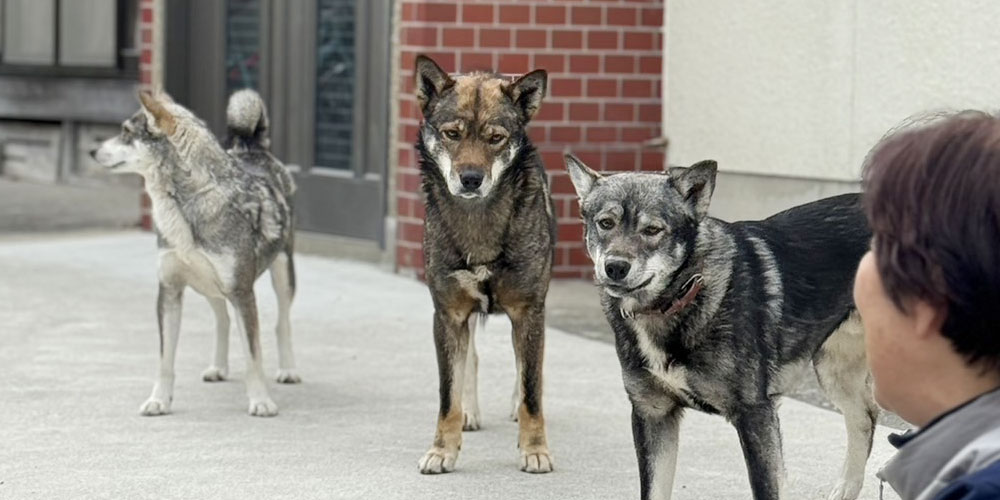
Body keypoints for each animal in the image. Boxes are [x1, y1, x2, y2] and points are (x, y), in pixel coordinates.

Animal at [92, 90, 298, 418]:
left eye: (125, 132)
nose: (92, 151)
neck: (188, 202)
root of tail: (253, 148)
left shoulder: (242, 293)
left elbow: (253, 356)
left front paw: (260, 401)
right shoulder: (169, 291)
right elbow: (164, 359)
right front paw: (159, 400)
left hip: (283, 275)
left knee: (282, 323)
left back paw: (288, 370)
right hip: (208, 287)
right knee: (222, 320)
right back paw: (218, 367)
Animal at [410, 55, 560, 476]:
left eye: (495, 138)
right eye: (452, 134)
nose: (471, 179)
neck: (478, 221)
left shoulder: (529, 311)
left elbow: (531, 389)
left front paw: (535, 449)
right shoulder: (448, 315)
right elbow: (448, 393)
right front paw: (442, 450)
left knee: (527, 367)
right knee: (470, 359)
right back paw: (469, 413)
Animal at [568, 154, 880, 498]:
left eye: (652, 230)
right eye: (605, 223)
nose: (615, 267)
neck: (685, 294)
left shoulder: (755, 414)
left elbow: (766, 489)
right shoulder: (652, 413)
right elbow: (654, 490)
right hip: (835, 369)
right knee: (864, 418)